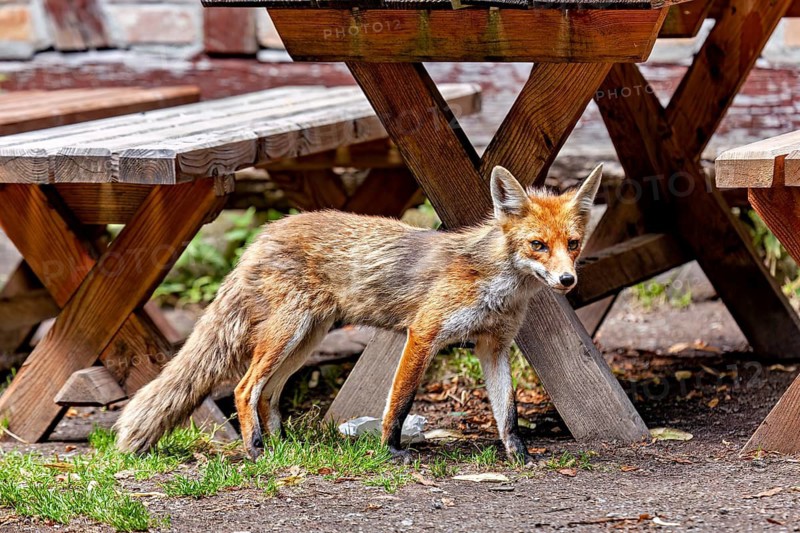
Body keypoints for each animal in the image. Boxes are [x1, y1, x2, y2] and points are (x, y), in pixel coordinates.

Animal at [114, 163, 603, 463]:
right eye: (537, 245)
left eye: (573, 244)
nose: (567, 281)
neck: (496, 283)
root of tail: (263, 233)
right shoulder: (424, 334)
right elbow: (400, 402)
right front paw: (391, 451)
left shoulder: (494, 346)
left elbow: (508, 412)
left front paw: (518, 455)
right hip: (287, 334)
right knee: (244, 387)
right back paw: (255, 449)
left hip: (304, 341)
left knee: (268, 394)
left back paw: (283, 446)